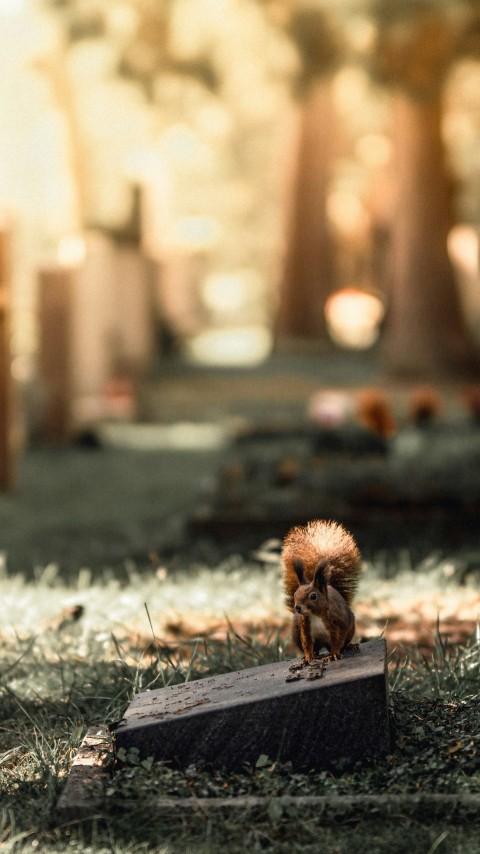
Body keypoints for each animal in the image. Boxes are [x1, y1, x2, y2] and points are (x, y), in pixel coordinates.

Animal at [282, 520, 360, 664]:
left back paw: (349, 646)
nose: (297, 608)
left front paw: (334, 654)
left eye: (313, 596)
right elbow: (307, 644)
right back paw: (313, 654)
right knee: (314, 648)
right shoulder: (305, 628)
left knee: (343, 642)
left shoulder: (338, 623)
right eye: (295, 594)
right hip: (296, 632)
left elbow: (338, 641)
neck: (315, 615)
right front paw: (308, 658)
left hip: (351, 626)